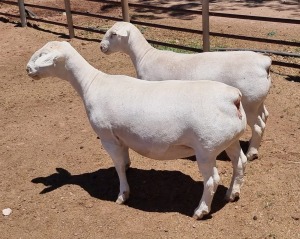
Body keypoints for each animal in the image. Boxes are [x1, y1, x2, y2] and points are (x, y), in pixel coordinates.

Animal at [25, 40, 247, 218]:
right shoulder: (121, 135)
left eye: (43, 55)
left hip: (206, 149)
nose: (27, 69)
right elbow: (124, 161)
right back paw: (232, 194)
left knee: (211, 180)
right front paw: (128, 170)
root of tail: (233, 97)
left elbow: (117, 166)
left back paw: (201, 211)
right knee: (240, 163)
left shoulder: (107, 137)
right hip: (230, 139)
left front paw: (123, 194)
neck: (92, 83)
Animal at [100, 22, 272, 161]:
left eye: (114, 34)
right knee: (265, 116)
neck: (145, 56)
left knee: (258, 126)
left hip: (249, 103)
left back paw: (251, 153)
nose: (101, 47)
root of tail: (265, 63)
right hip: (258, 101)